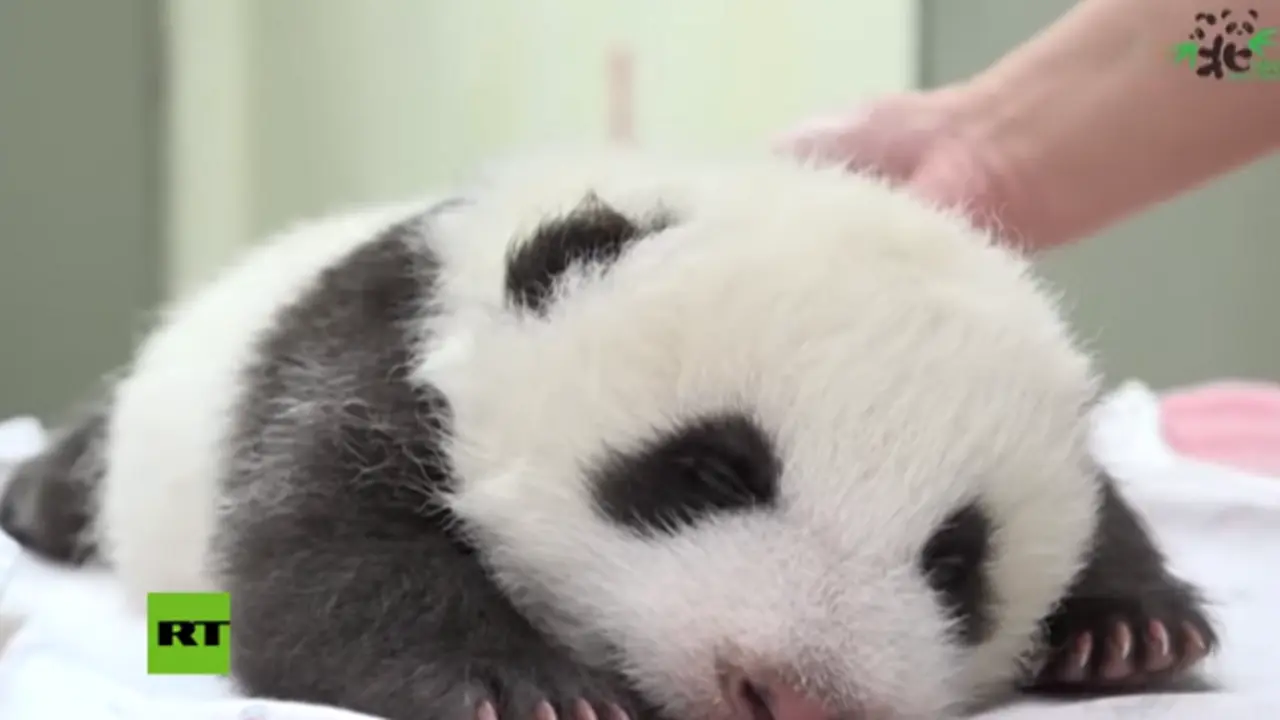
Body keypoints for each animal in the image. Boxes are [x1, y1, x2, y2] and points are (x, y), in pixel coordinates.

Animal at [0, 149, 1215, 720]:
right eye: (710, 470)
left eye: (957, 561)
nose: (791, 694)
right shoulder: (380, 356)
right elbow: (316, 554)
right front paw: (528, 687)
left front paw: (1126, 630)